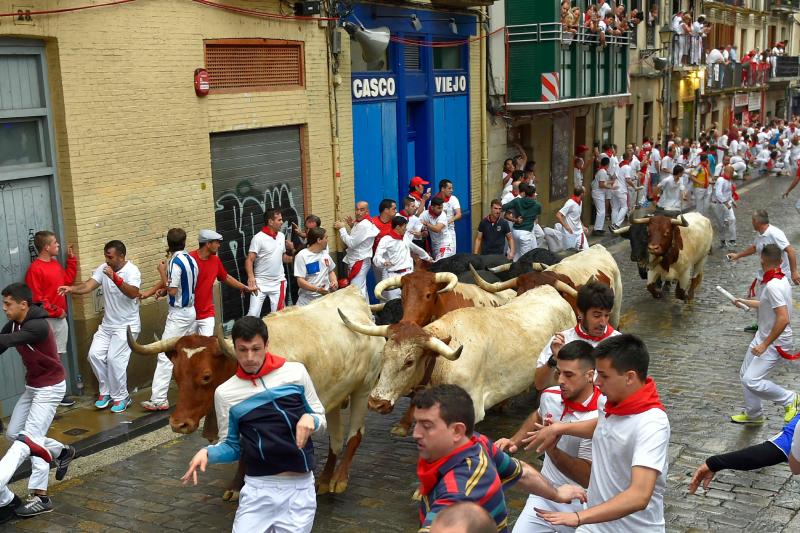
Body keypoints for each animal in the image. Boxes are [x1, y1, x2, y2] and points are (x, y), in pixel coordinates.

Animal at [128, 284, 384, 496]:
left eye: (206, 377)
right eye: (176, 376)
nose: (178, 423)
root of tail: (353, 295)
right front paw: (236, 485)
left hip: (363, 388)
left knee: (354, 436)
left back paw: (339, 479)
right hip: (333, 396)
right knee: (336, 440)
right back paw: (324, 479)